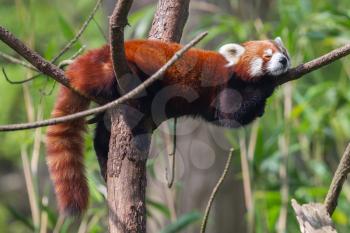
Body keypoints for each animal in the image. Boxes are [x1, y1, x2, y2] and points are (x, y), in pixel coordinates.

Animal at [45, 37, 290, 215]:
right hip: (127, 73)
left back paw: (104, 157)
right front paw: (266, 85)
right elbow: (230, 113)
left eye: (283, 52)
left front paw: (261, 106)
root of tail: (100, 53)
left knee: (103, 133)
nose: (284, 61)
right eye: (267, 55)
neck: (233, 70)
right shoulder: (224, 86)